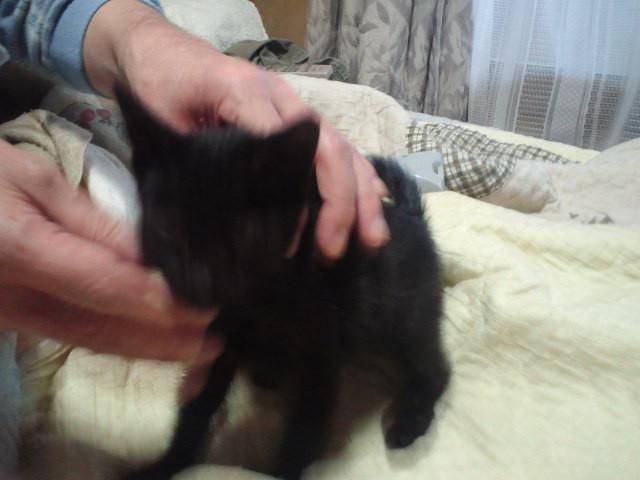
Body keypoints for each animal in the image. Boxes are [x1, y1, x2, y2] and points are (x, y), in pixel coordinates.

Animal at [116, 87, 449, 480]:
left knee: (435, 368)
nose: (197, 282)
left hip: (403, 313)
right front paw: (166, 465)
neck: (256, 302)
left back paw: (411, 418)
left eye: (241, 234)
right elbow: (195, 410)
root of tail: (411, 214)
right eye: (169, 227)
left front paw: (283, 472)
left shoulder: (320, 353)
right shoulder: (216, 344)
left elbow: (305, 429)